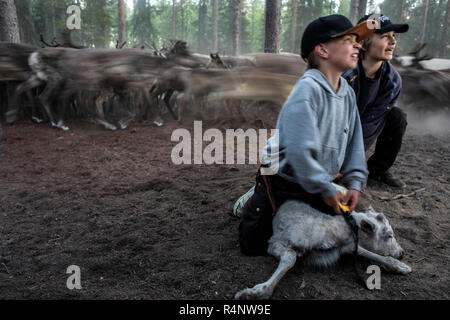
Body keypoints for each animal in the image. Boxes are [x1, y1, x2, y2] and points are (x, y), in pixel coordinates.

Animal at [236, 184, 412, 298]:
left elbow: (367, 252)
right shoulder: (276, 242)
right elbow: (290, 257)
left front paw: (400, 266)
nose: (402, 253)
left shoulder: (347, 247)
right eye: (389, 235)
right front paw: (253, 293)